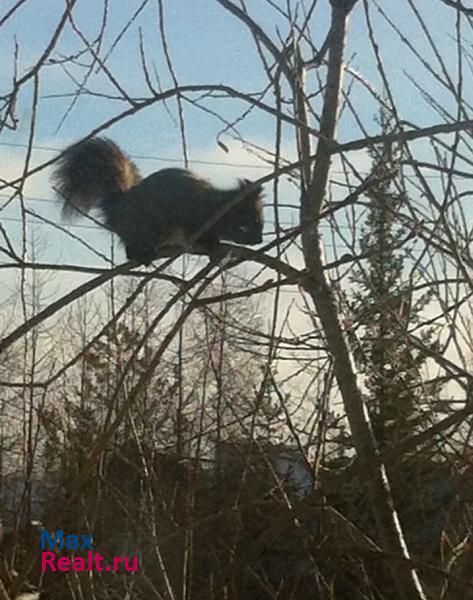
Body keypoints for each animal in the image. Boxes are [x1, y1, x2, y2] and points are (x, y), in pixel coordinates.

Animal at [52, 137, 264, 265]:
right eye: (245, 224)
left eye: (261, 221)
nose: (259, 240)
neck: (214, 207)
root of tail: (118, 209)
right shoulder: (192, 218)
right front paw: (210, 244)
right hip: (143, 228)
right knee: (130, 242)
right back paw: (140, 254)